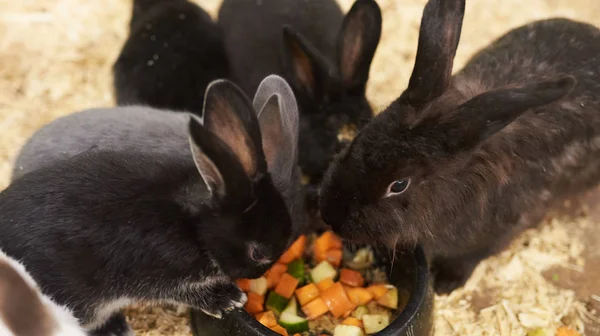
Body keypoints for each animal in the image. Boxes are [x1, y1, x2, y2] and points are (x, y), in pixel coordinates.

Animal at [318, 0, 600, 294]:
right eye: (361, 134)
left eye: (398, 185)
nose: (329, 215)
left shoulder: (502, 230)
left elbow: (470, 259)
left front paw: (444, 285)